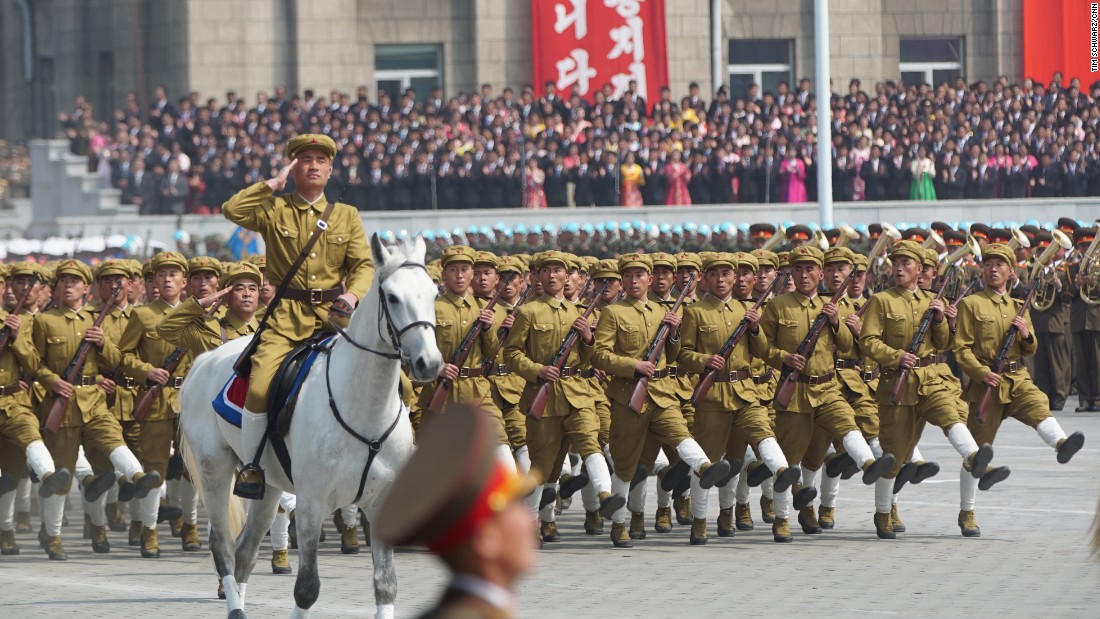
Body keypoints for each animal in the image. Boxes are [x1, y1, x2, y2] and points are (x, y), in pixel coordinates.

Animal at [178, 235, 440, 615]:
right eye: (392, 297)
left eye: (434, 293)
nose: (429, 363)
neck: (364, 407)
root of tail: (203, 359)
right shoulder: (312, 504)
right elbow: (307, 588)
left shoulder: (381, 505)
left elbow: (386, 586)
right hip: (214, 467)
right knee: (222, 544)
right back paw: (235, 606)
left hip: (267, 485)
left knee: (246, 549)